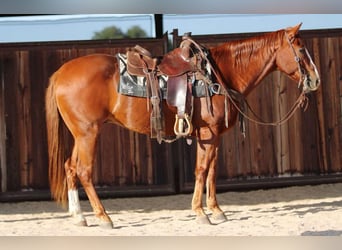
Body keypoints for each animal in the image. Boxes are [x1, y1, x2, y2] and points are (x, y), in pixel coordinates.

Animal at [45, 23, 320, 229]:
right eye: (301, 49)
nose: (315, 79)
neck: (219, 74)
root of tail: (61, 73)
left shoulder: (215, 136)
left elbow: (212, 171)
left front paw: (216, 210)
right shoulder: (208, 134)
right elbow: (201, 170)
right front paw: (200, 213)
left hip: (80, 134)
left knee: (70, 167)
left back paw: (79, 217)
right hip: (88, 133)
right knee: (84, 171)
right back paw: (103, 217)